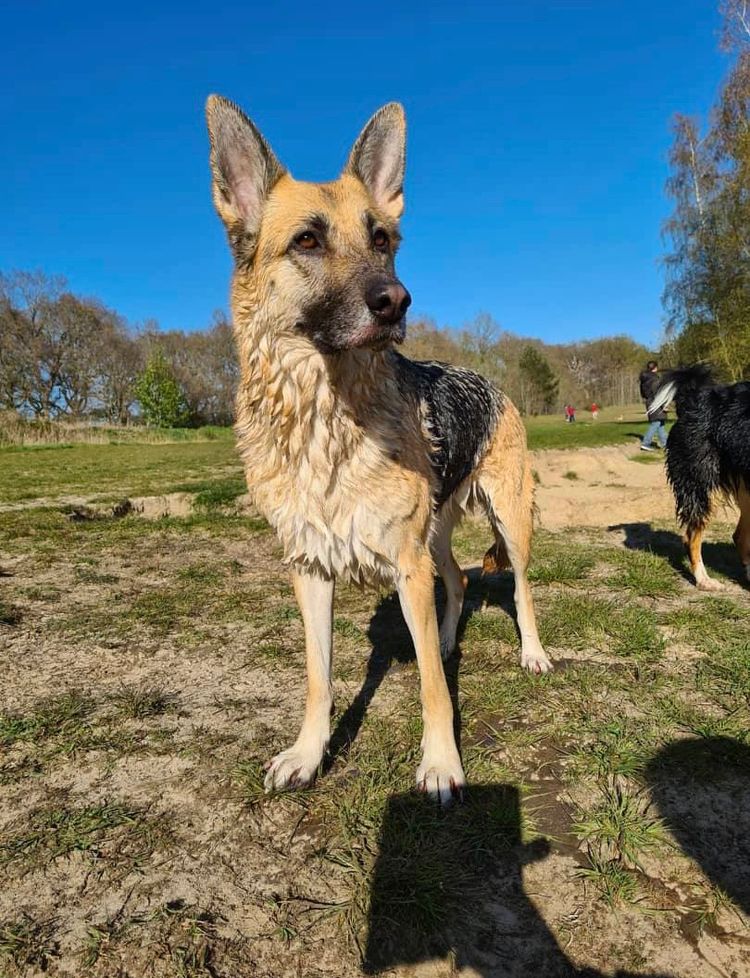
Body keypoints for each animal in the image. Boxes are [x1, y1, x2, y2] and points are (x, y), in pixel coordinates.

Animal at [206, 97, 552, 800]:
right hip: (436, 535)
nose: (396, 302)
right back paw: (444, 641)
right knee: (457, 579)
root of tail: (493, 383)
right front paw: (309, 753)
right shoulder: (310, 569)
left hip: (507, 520)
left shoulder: (406, 568)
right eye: (307, 241)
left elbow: (433, 690)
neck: (327, 420)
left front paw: (442, 763)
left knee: (522, 588)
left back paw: (532, 651)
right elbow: (317, 678)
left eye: (383, 241)